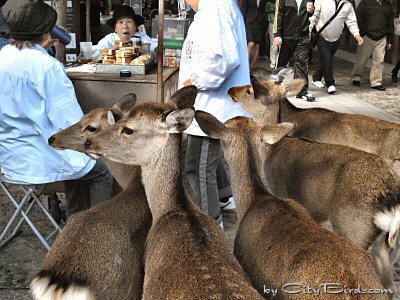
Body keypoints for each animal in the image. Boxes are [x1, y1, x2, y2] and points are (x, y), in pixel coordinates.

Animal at [227, 84, 400, 290]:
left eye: (249, 90)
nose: (230, 90)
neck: (272, 148)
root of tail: (391, 201)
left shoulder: (280, 188)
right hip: (384, 241)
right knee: (389, 284)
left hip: (355, 228)